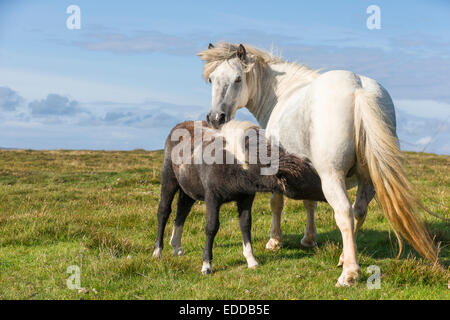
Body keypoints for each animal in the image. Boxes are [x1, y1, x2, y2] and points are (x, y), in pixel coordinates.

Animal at [154, 119, 324, 274]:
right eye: (303, 179)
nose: (325, 193)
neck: (235, 162)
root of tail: (179, 126)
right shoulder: (212, 199)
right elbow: (211, 227)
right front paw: (207, 265)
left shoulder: (246, 198)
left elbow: (245, 224)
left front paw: (251, 260)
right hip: (169, 179)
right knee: (164, 211)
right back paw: (157, 251)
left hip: (189, 191)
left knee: (182, 212)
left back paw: (176, 247)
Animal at [197, 42, 436, 288]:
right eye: (211, 79)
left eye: (237, 79)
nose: (215, 118)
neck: (283, 93)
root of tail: (358, 90)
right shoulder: (307, 172)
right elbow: (309, 203)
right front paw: (309, 238)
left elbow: (276, 204)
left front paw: (275, 241)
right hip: (367, 180)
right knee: (359, 211)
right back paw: (343, 257)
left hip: (332, 178)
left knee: (344, 212)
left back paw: (349, 273)